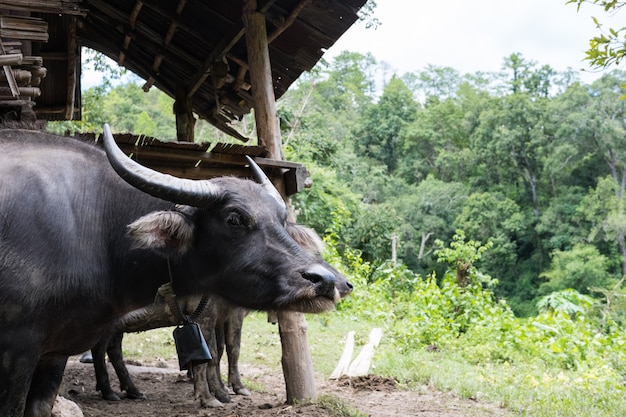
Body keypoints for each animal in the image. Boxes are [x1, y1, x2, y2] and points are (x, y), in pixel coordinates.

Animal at [89, 224, 352, 406]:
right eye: (314, 255)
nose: (344, 284)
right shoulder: (213, 315)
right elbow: (221, 351)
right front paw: (214, 395)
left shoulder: (220, 317)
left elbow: (222, 351)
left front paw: (222, 389)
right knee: (100, 349)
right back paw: (110, 390)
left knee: (112, 350)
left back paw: (130, 389)